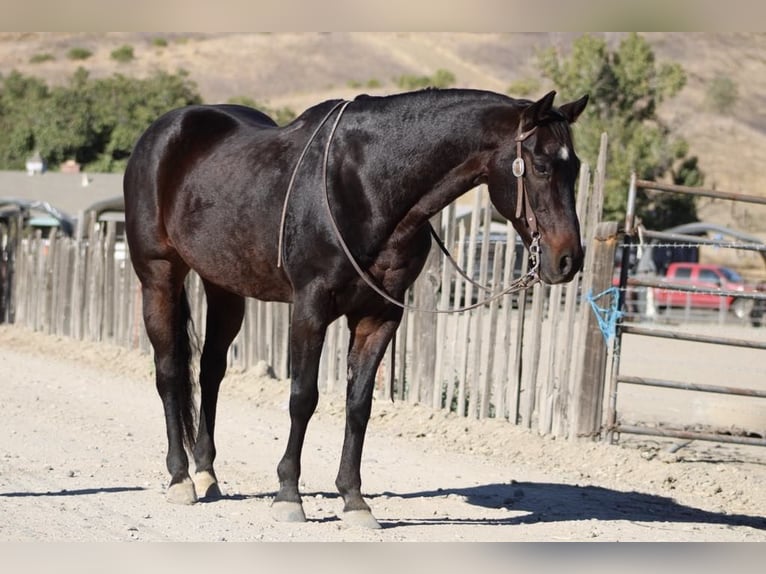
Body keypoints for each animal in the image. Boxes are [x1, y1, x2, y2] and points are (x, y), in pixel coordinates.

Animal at [123, 87, 588, 529]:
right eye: (542, 165)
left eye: (577, 167)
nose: (568, 260)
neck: (367, 184)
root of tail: (160, 134)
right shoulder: (310, 307)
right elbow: (303, 398)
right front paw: (288, 496)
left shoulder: (379, 316)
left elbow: (359, 404)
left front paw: (353, 500)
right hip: (159, 277)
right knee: (169, 372)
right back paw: (180, 478)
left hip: (223, 286)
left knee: (210, 370)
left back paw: (206, 472)